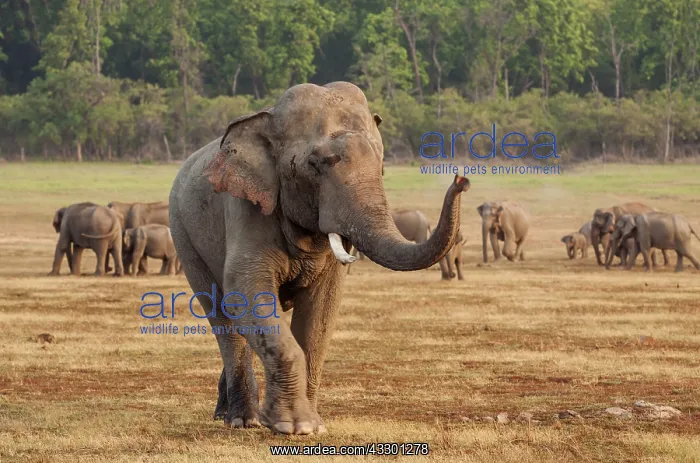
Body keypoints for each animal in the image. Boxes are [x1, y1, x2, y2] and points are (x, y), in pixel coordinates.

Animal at [168, 82, 470, 435]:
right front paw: (291, 425)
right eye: (316, 164)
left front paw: (313, 426)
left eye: (382, 167)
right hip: (183, 234)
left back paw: (226, 413)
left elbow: (321, 311)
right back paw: (242, 420)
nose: (461, 179)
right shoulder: (244, 208)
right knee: (222, 318)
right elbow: (245, 289)